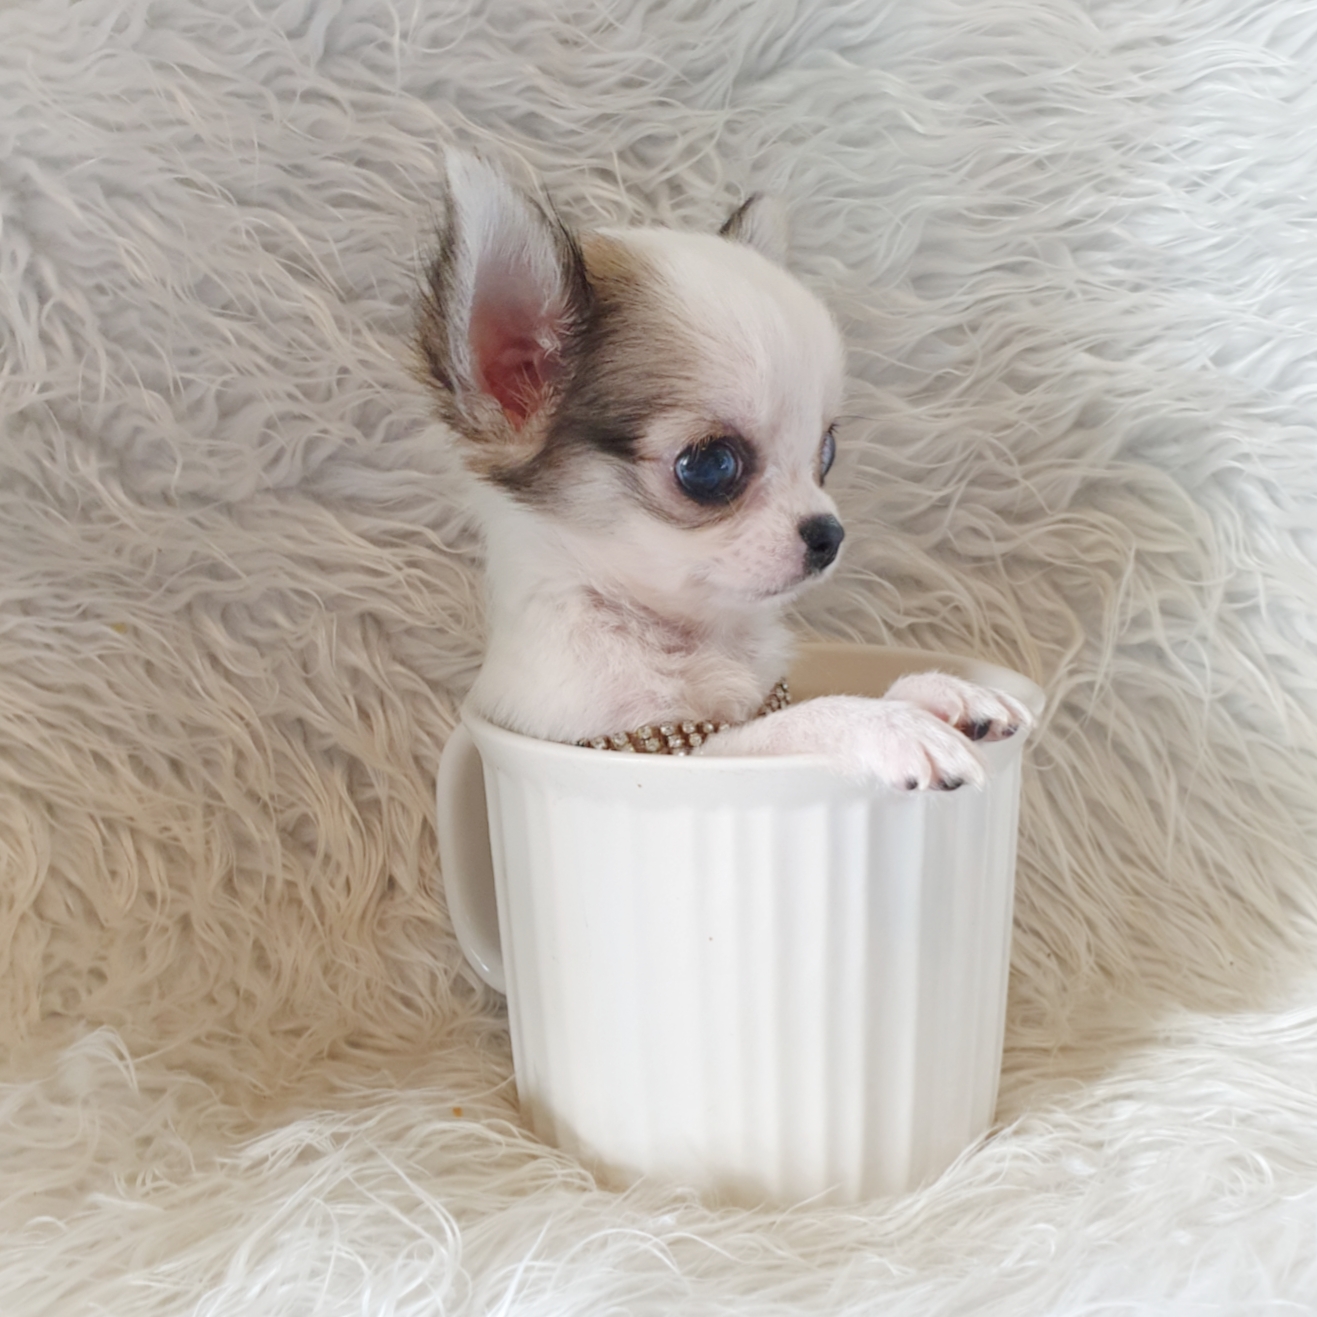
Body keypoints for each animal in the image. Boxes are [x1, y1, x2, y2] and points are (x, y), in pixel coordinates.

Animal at [418, 154, 1029, 789]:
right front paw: (885, 725)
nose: (830, 534)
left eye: (827, 452)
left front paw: (937, 690)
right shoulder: (667, 752)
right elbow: (786, 725)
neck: (693, 638)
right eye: (710, 466)